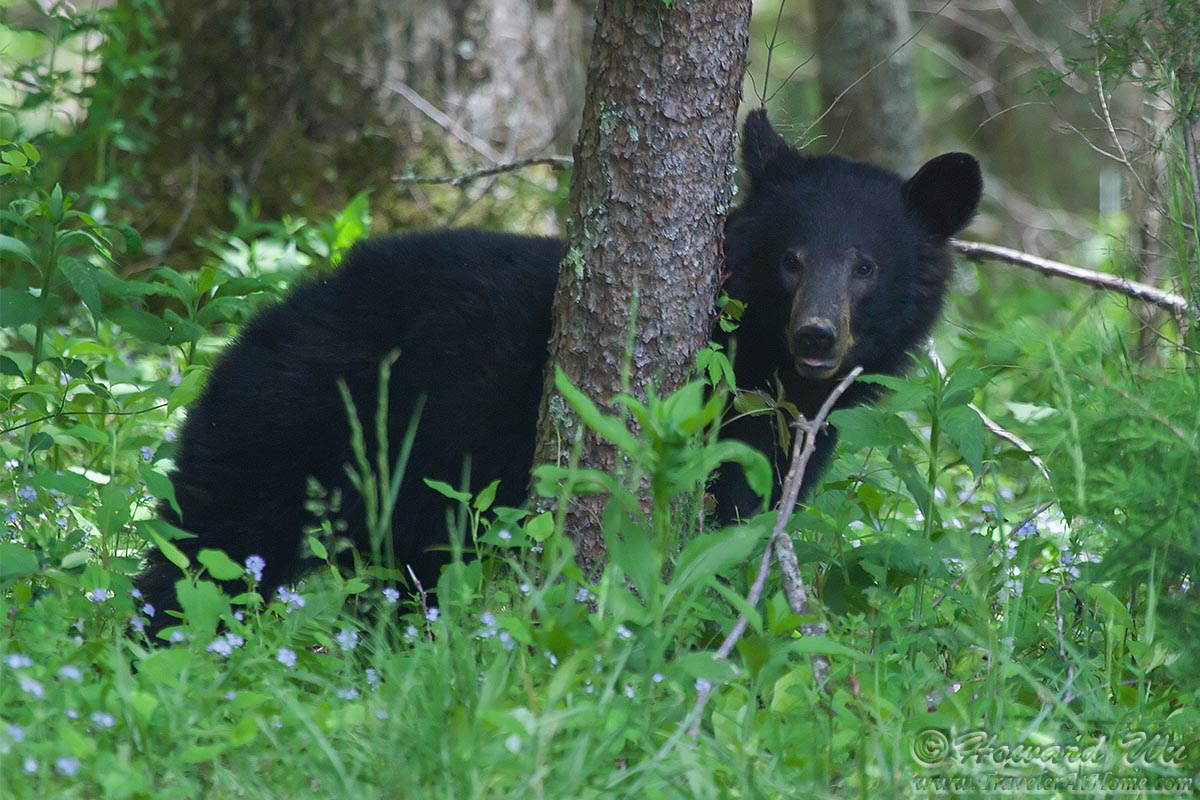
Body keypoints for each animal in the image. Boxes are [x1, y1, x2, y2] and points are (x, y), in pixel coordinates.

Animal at [136, 110, 981, 632]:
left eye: (866, 265)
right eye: (791, 259)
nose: (816, 336)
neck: (764, 372)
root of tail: (253, 326)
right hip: (284, 432)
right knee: (208, 553)